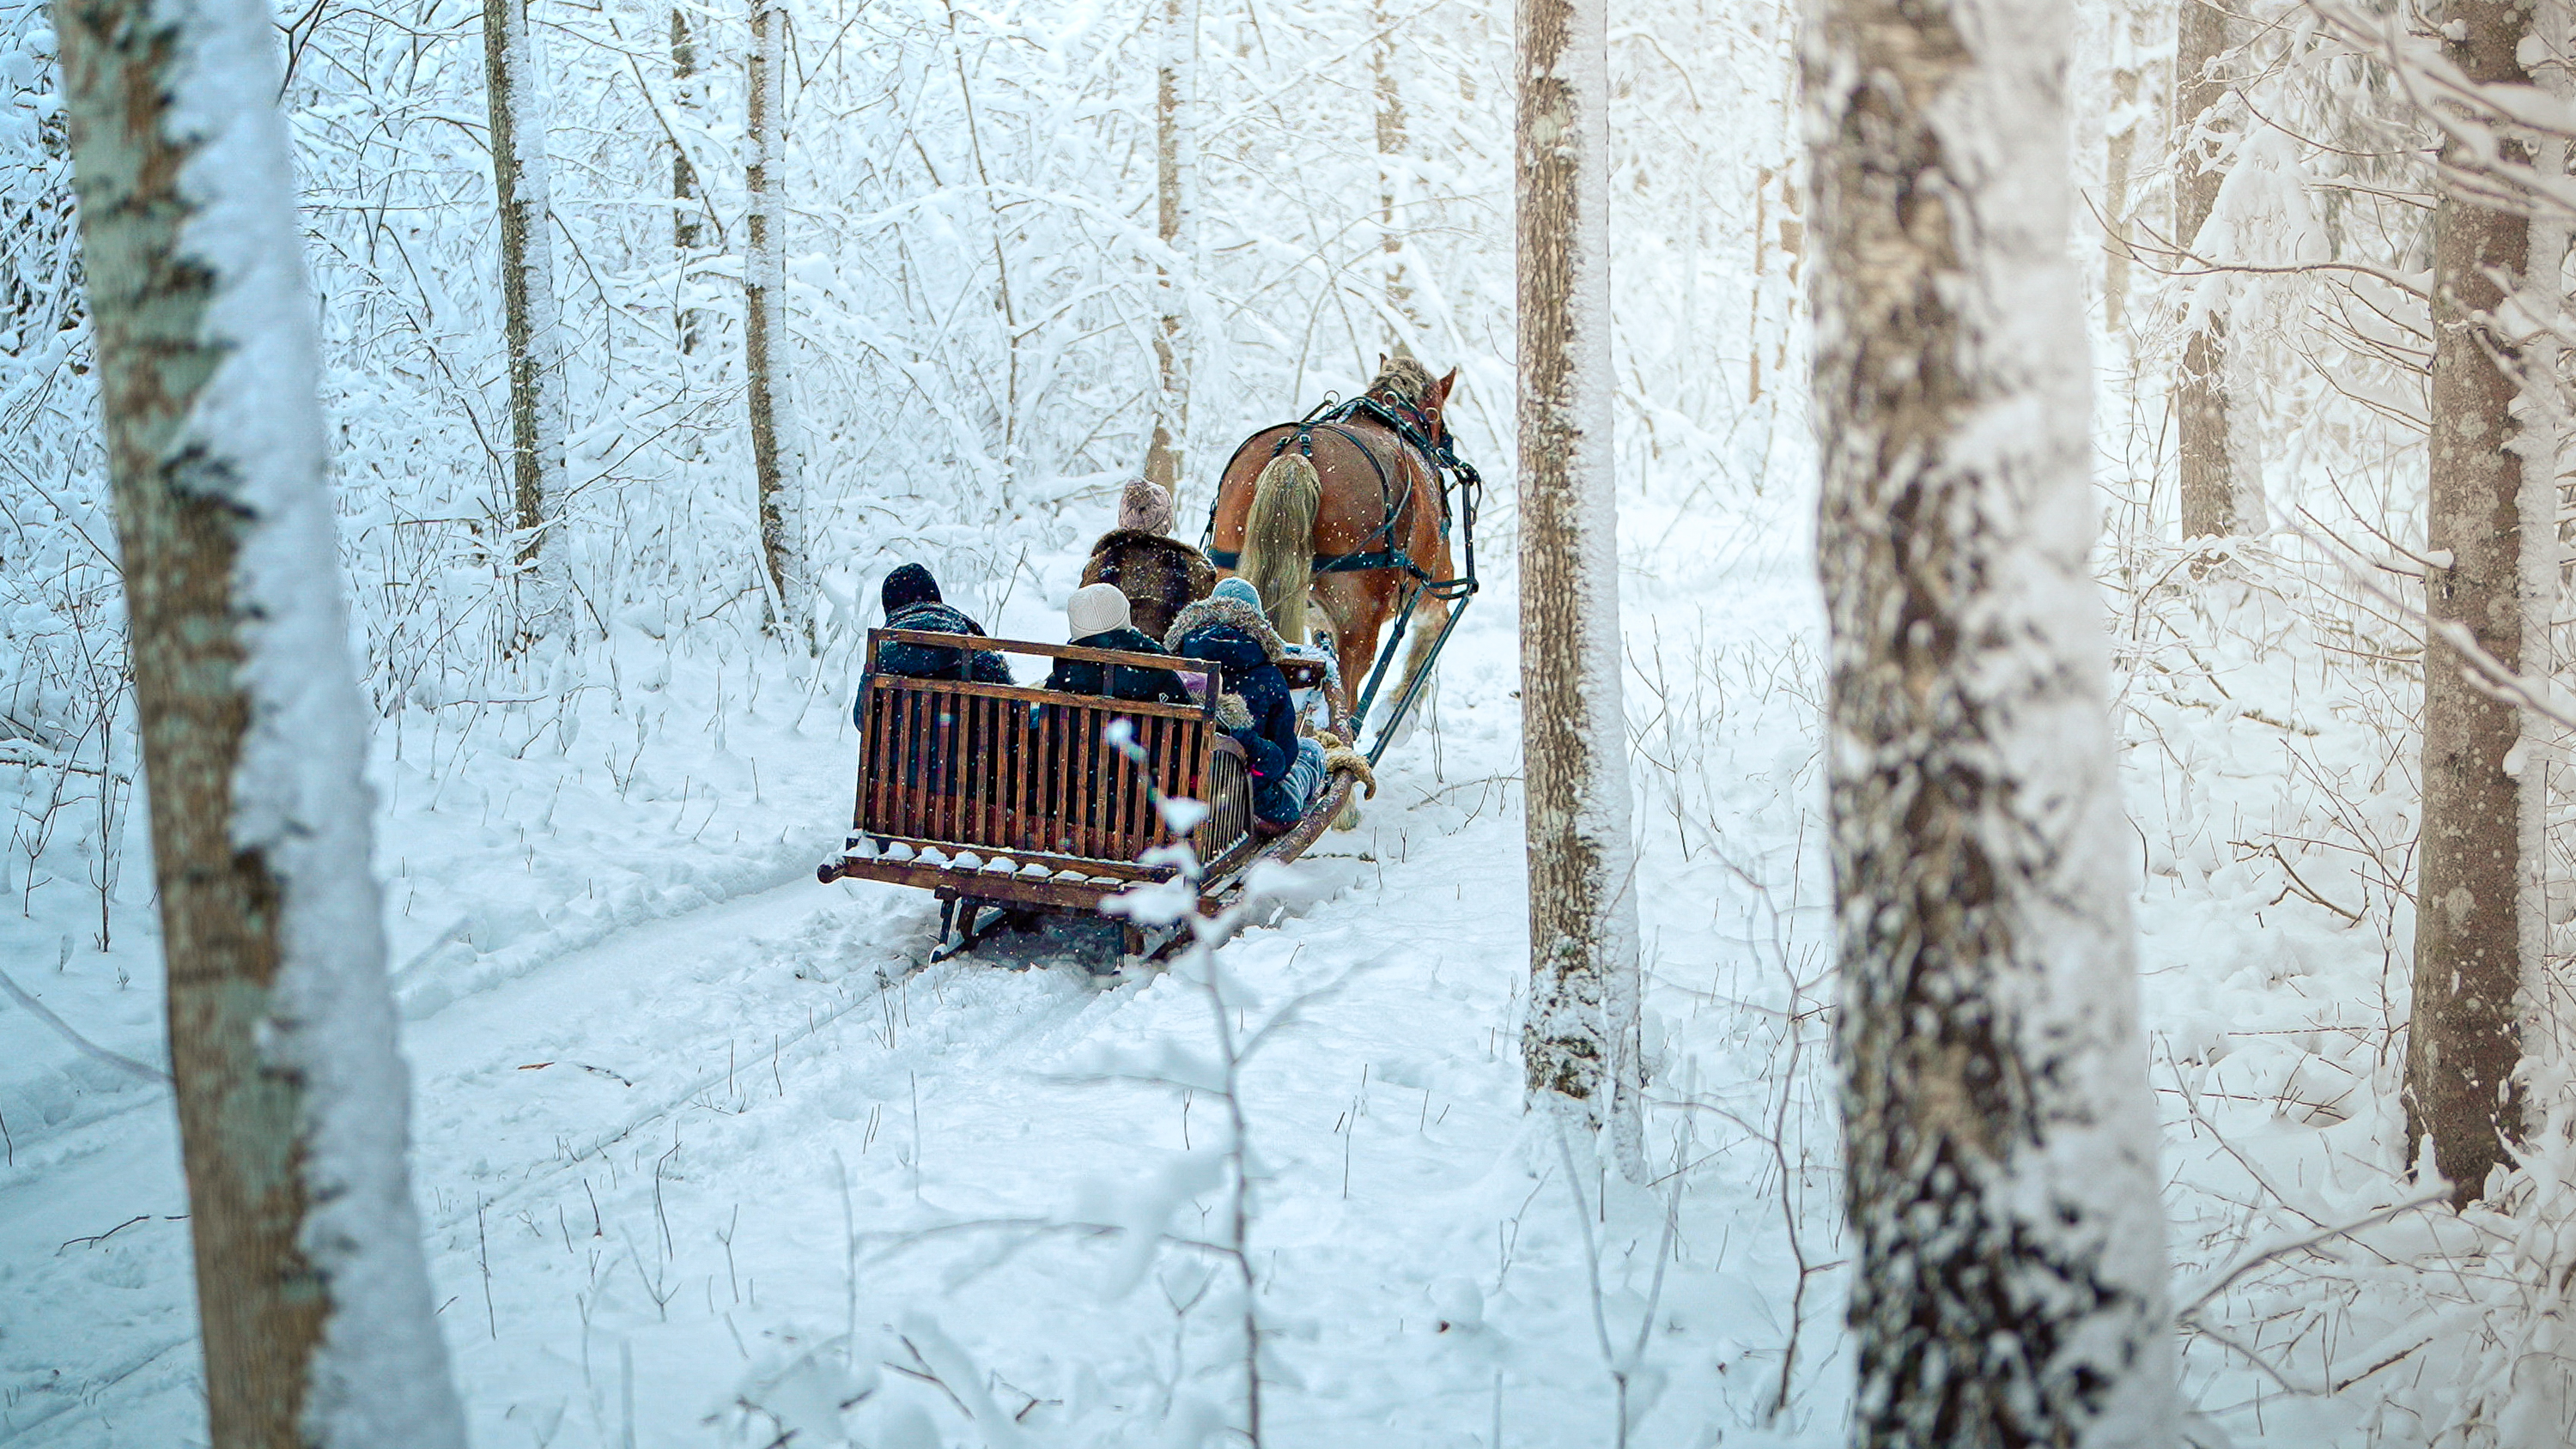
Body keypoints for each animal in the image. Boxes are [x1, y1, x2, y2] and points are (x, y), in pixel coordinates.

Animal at [1211, 355, 1473, 746]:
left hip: (1233, 579)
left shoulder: (1316, 622)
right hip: (1358, 624)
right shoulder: (1434, 587)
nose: (1448, 442)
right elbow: (1429, 638)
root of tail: (1298, 454)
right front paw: (1395, 718)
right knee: (1342, 707)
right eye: (1437, 413)